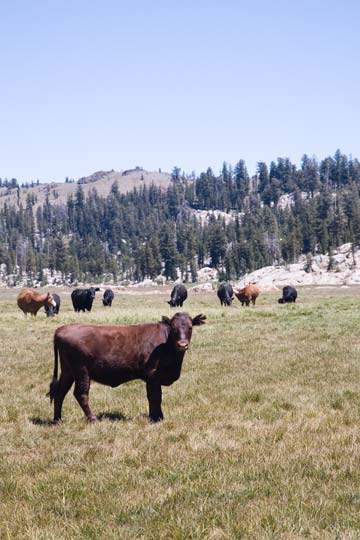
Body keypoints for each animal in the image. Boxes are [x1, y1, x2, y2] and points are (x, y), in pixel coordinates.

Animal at [47, 312, 205, 426]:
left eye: (190, 327)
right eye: (173, 328)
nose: (182, 344)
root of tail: (61, 329)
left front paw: (158, 416)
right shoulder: (152, 376)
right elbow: (155, 397)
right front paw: (155, 418)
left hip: (68, 371)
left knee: (60, 393)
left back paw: (57, 420)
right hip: (81, 371)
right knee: (81, 394)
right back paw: (92, 419)